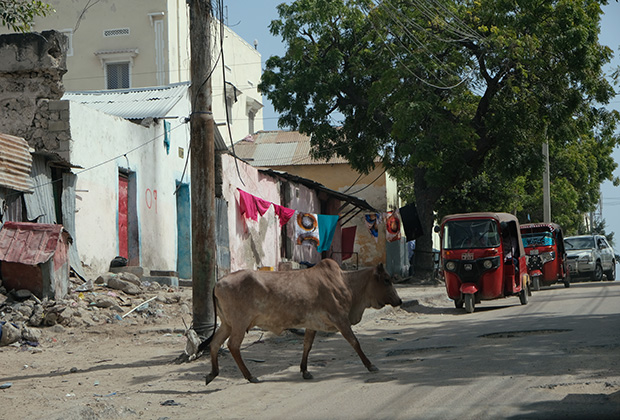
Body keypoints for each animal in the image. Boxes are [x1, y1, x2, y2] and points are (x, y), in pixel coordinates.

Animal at [200, 258, 402, 386]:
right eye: (386, 280)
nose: (399, 300)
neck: (347, 284)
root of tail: (219, 282)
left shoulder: (312, 324)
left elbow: (307, 346)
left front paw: (305, 371)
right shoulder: (340, 319)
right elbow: (354, 342)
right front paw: (370, 365)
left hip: (227, 324)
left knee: (215, 344)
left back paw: (213, 374)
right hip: (239, 324)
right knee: (233, 346)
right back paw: (250, 376)